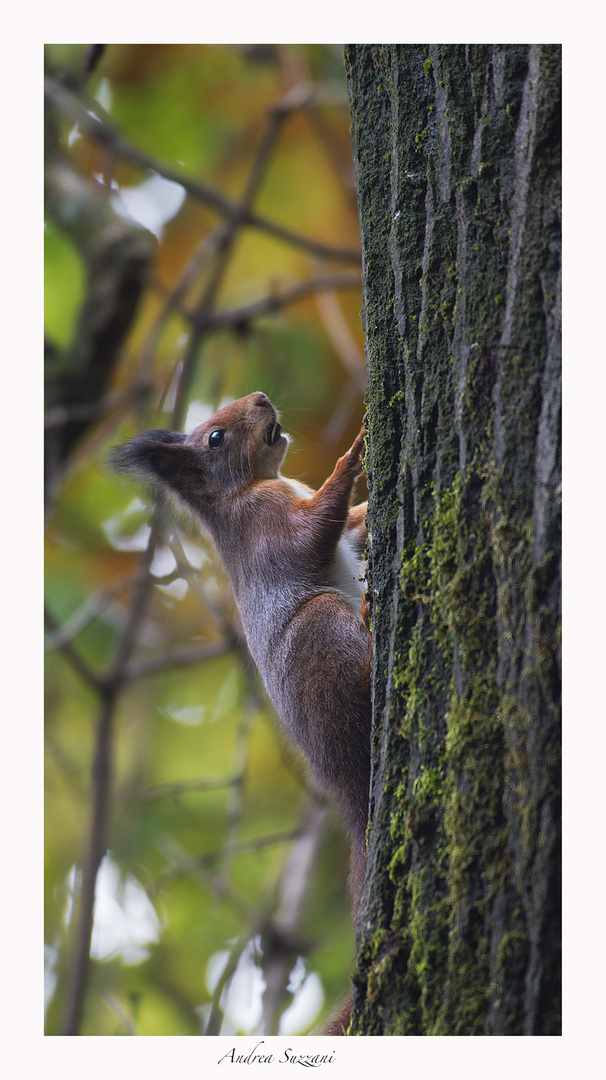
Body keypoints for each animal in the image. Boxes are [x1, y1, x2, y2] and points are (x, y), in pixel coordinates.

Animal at [112, 393, 369, 1032]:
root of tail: (347, 787)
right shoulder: (268, 527)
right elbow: (313, 533)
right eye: (215, 438)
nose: (262, 399)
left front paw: (370, 500)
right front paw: (355, 454)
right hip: (321, 635)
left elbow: (349, 524)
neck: (251, 487)